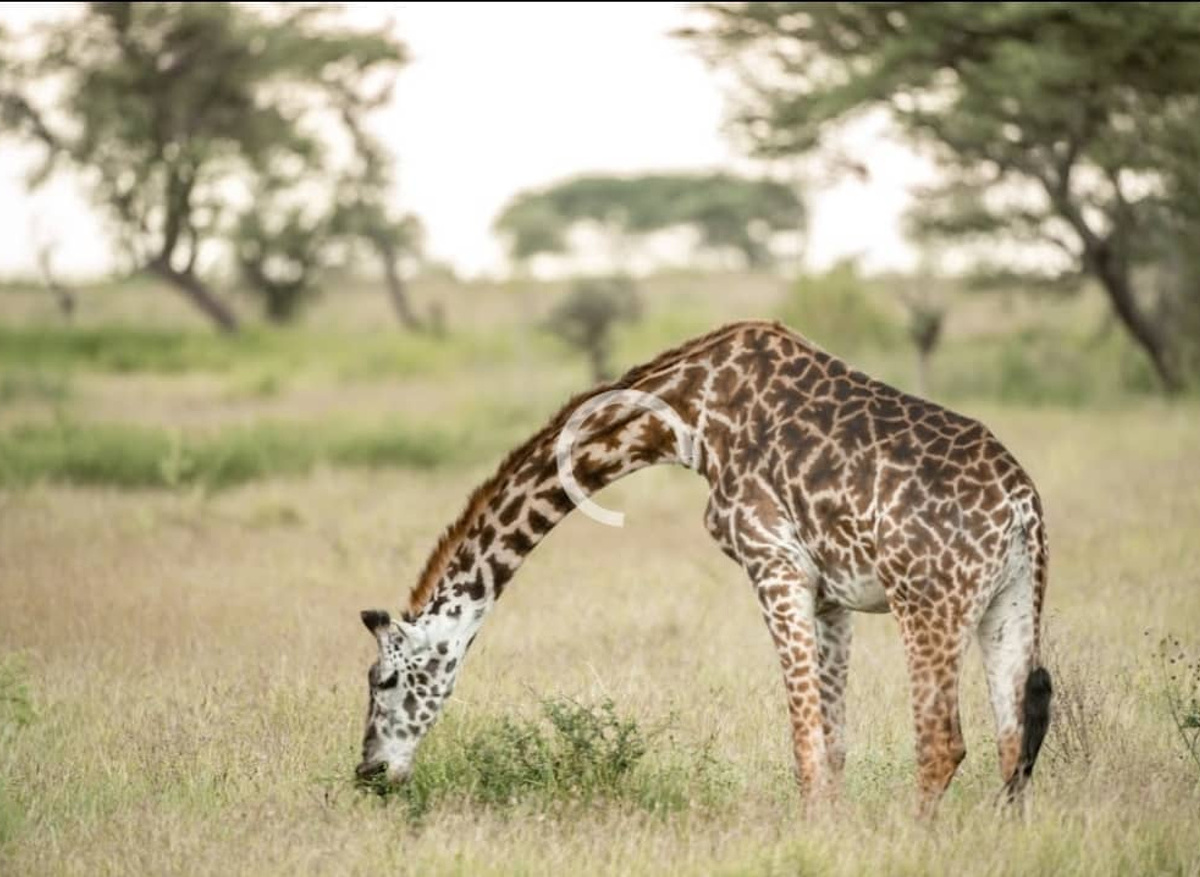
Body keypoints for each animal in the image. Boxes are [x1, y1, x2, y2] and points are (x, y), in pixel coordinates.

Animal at [355, 320, 1052, 814]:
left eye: (383, 680)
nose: (369, 773)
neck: (684, 418)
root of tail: (1022, 506)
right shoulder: (830, 592)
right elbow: (833, 743)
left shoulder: (774, 562)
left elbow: (806, 745)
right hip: (1009, 602)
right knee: (1011, 738)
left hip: (928, 603)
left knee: (941, 743)